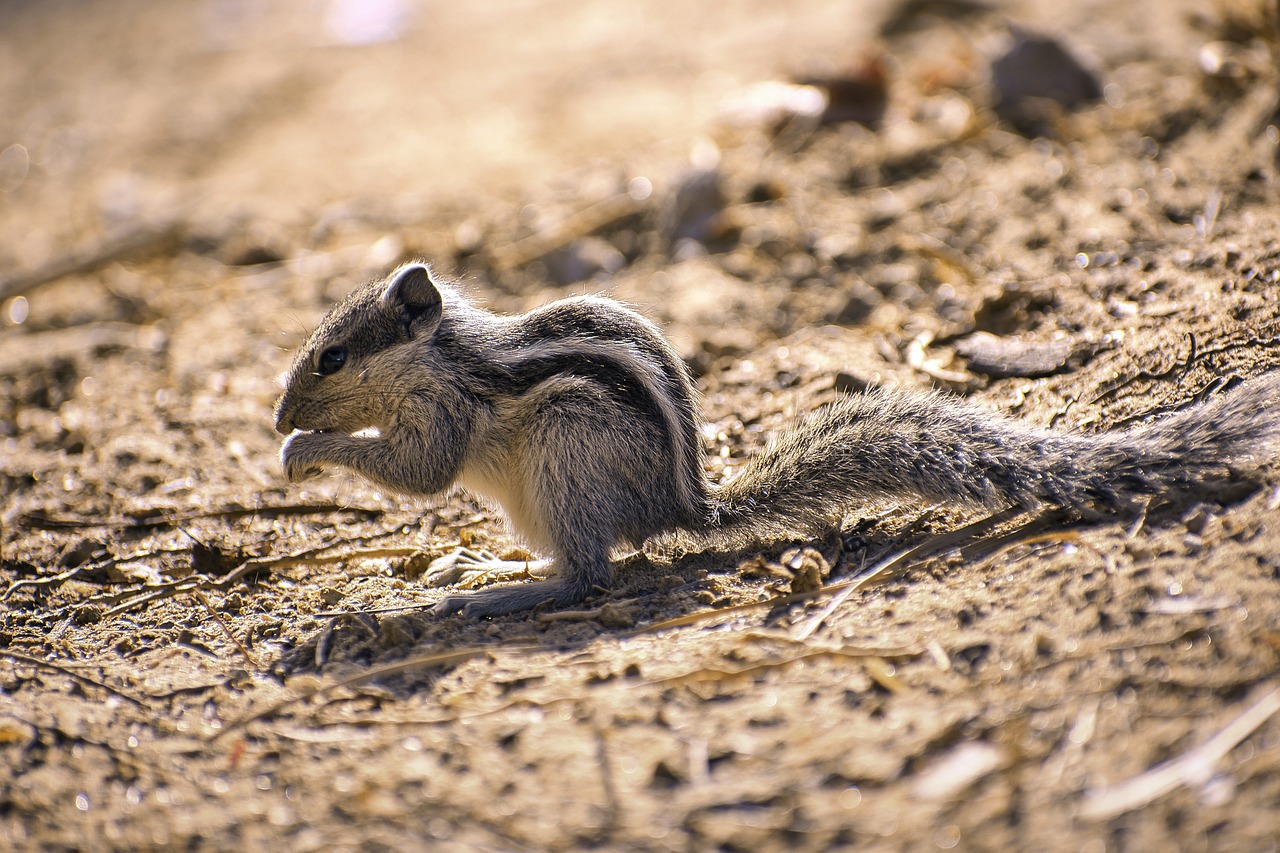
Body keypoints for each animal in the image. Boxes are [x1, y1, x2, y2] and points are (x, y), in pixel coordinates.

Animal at [272, 262, 1280, 614]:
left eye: (330, 356)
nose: (280, 417)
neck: (439, 352)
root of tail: (682, 503)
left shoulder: (445, 413)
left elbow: (420, 473)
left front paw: (304, 452)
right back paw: (490, 565)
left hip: (566, 451)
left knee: (589, 576)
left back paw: (491, 595)